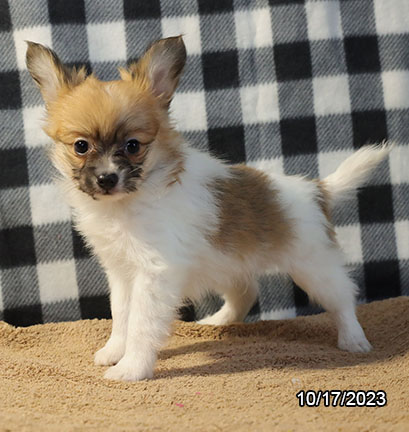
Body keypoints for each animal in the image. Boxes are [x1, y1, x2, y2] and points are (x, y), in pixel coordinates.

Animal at [25, 37, 388, 382]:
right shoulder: (122, 271)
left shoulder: (154, 274)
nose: (106, 178)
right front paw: (115, 351)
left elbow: (141, 324)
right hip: (230, 264)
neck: (129, 203)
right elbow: (122, 315)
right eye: (81, 146)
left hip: (314, 267)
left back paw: (353, 339)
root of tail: (317, 189)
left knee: (343, 298)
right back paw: (218, 322)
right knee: (245, 293)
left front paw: (132, 368)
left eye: (132, 146)